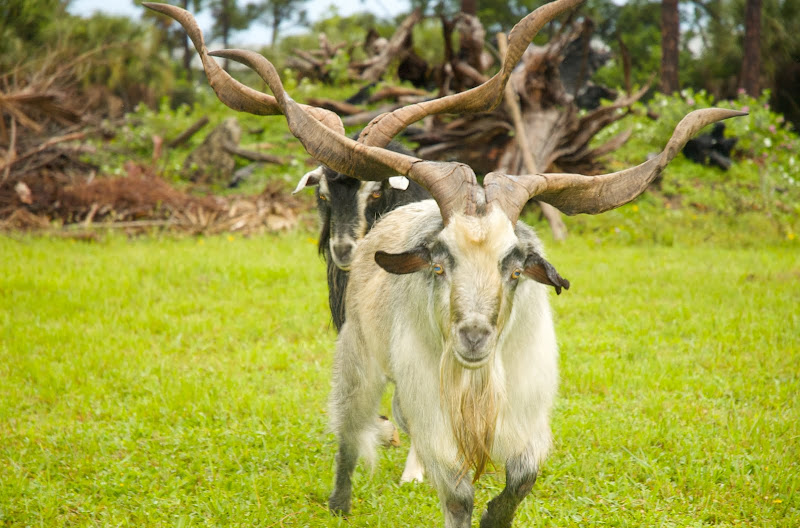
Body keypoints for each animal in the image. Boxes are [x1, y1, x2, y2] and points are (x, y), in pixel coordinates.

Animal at [145, 1, 744, 525]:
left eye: (514, 263)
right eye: (439, 260)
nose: (473, 337)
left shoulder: (527, 415)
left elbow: (519, 481)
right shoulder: (430, 409)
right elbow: (454, 493)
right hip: (358, 360)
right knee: (351, 429)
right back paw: (340, 504)